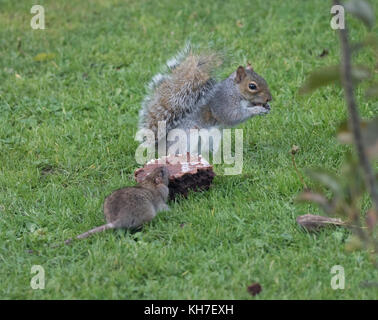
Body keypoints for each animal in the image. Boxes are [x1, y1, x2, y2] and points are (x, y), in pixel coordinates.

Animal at [138, 44, 272, 139]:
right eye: (252, 86)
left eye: (264, 79)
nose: (269, 98)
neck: (234, 91)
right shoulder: (223, 101)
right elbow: (233, 116)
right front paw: (257, 109)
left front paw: (266, 107)